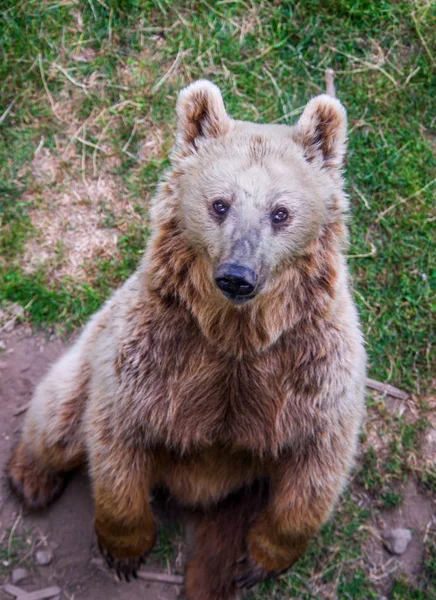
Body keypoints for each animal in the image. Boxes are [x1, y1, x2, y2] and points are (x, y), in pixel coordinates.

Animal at [8, 81, 366, 600]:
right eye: (220, 204)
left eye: (280, 212)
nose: (238, 275)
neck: (235, 333)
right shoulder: (154, 355)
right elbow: (116, 440)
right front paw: (124, 551)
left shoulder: (309, 368)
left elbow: (317, 466)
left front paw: (259, 560)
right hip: (91, 347)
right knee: (59, 417)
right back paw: (30, 478)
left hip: (240, 492)